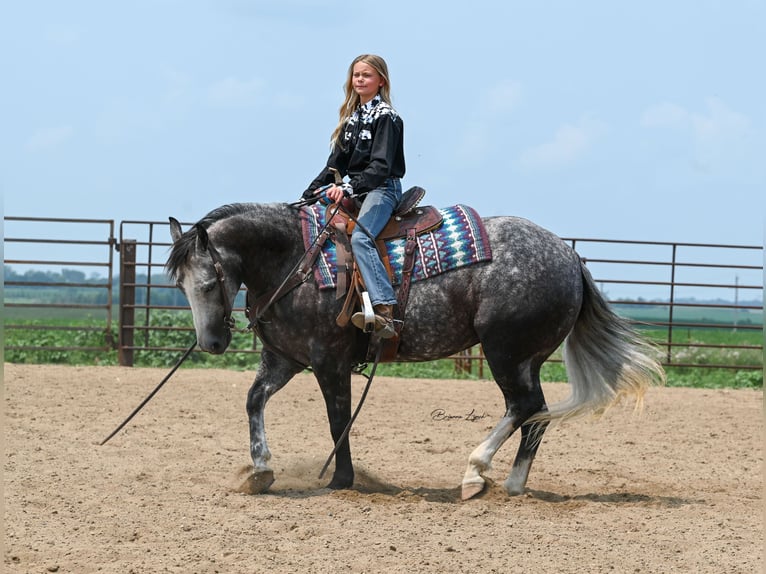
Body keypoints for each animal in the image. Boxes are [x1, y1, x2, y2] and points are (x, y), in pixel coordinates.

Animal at [168, 202, 664, 500]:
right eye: (180, 285)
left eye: (208, 284)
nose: (212, 343)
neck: (296, 260)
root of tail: (569, 256)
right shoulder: (285, 360)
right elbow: (254, 400)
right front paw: (260, 470)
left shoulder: (330, 362)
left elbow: (338, 420)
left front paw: (341, 480)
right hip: (528, 357)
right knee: (535, 413)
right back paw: (513, 482)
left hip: (505, 350)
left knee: (523, 406)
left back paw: (475, 472)